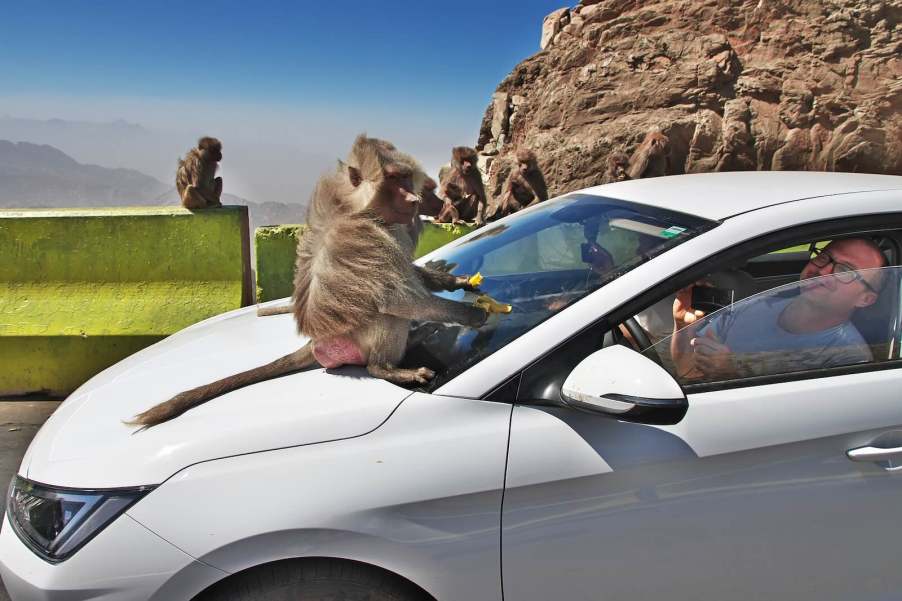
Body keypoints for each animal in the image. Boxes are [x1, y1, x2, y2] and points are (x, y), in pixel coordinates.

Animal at [131, 137, 490, 426]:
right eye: (392, 180)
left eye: (404, 178)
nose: (414, 201)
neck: (366, 212)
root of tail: (315, 342)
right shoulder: (367, 238)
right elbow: (397, 298)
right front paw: (474, 315)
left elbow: (409, 275)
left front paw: (456, 281)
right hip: (352, 338)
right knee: (386, 314)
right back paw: (386, 369)